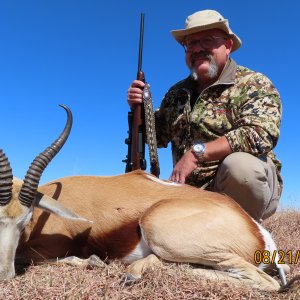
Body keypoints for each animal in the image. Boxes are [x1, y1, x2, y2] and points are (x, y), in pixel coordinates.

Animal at [0, 105, 292, 290]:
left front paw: (93, 262)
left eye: (25, 222)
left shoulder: (50, 249)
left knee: (268, 282)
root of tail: (259, 234)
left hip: (162, 230)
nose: (4, 275)